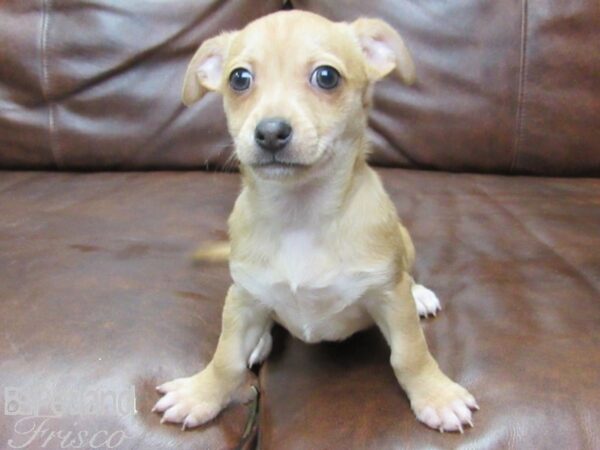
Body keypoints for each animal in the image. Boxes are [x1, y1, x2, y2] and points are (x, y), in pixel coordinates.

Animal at [154, 9, 478, 432]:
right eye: (239, 79)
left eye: (327, 77)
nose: (270, 132)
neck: (300, 215)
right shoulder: (243, 297)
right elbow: (225, 359)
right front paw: (201, 394)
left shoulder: (389, 297)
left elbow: (410, 354)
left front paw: (436, 395)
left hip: (403, 240)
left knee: (407, 273)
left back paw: (419, 292)